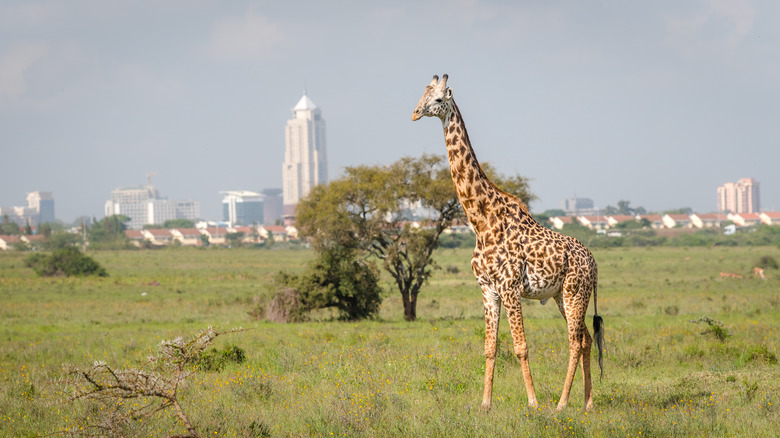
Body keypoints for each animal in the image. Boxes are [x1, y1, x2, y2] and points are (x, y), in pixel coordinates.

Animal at [412, 74, 608, 410]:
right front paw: (485, 404)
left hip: (574, 292)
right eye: (421, 95)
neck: (481, 221)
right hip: (562, 296)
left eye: (437, 99)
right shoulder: (487, 289)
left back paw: (561, 404)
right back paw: (588, 403)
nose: (414, 113)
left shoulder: (510, 287)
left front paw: (532, 403)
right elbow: (490, 347)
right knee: (585, 338)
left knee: (574, 341)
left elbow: (520, 346)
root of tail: (593, 263)